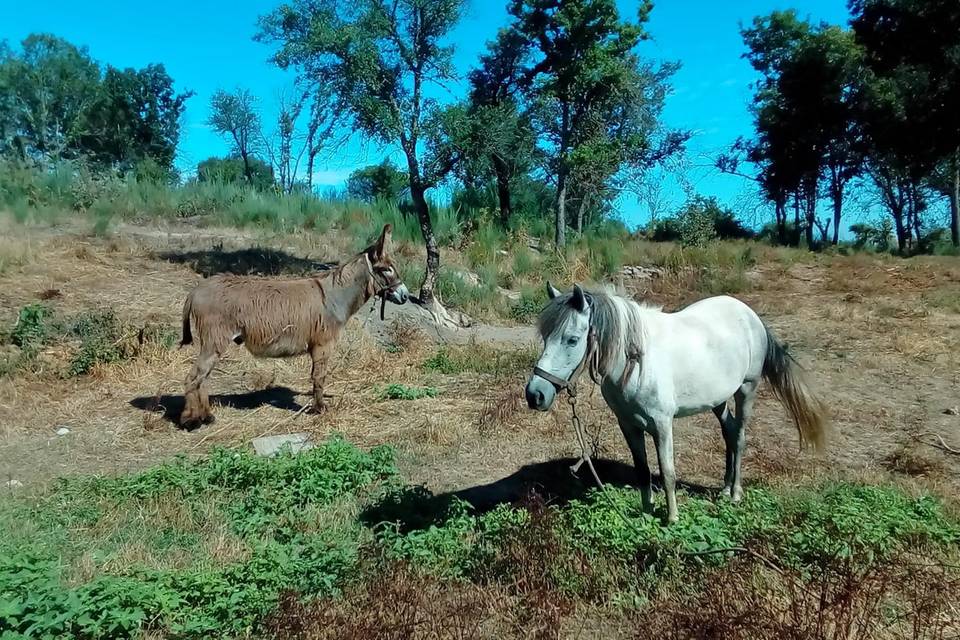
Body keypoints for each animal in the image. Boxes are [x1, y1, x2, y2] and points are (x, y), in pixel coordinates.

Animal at [524, 282, 824, 524]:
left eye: (572, 340)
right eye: (545, 337)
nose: (535, 394)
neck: (637, 362)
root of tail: (750, 315)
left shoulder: (662, 424)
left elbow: (667, 471)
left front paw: (672, 518)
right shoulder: (628, 425)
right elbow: (643, 470)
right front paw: (646, 513)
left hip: (746, 390)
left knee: (739, 437)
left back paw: (736, 493)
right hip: (718, 400)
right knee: (728, 432)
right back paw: (725, 488)